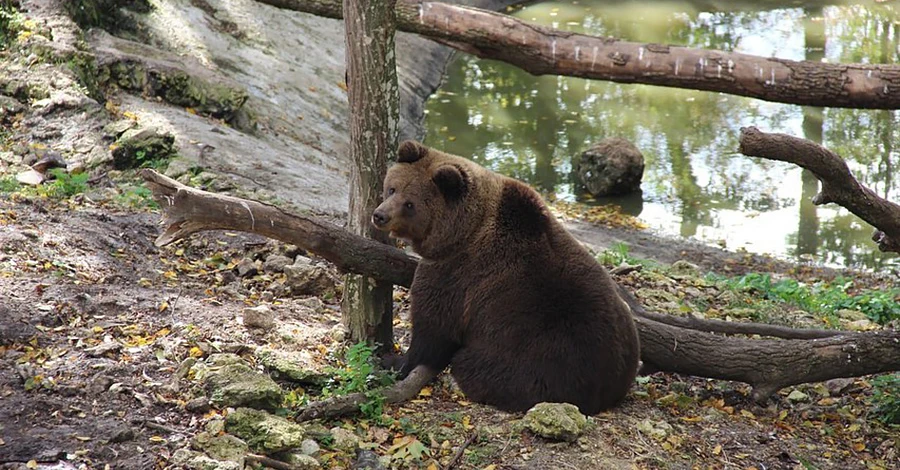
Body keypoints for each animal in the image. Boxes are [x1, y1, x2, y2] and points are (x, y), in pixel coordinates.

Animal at [370, 140, 640, 414]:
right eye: (392, 188)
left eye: (410, 204)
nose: (380, 215)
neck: (462, 232)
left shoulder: (455, 273)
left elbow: (433, 330)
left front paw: (393, 359)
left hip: (537, 359)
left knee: (476, 367)